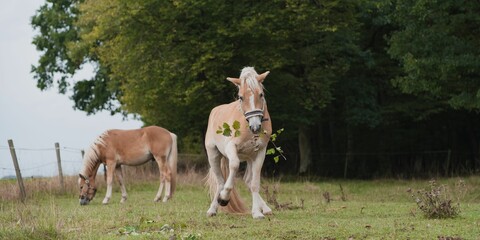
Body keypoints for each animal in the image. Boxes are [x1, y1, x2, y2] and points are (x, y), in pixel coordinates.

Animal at [205, 66, 274, 218]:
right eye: (241, 97)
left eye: (261, 94)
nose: (255, 127)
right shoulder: (231, 148)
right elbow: (234, 166)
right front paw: (224, 198)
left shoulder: (260, 152)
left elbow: (254, 183)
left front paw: (257, 213)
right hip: (213, 154)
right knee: (220, 181)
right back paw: (213, 208)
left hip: (249, 158)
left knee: (248, 180)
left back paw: (265, 208)